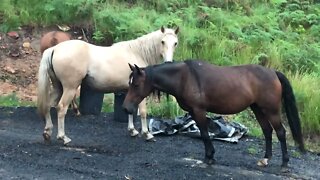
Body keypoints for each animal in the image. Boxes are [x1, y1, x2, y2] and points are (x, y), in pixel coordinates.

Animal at [37, 26, 180, 145]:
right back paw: (63, 137)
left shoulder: (130, 91)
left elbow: (130, 110)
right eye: (162, 42)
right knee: (61, 108)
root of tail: (54, 48)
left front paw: (132, 131)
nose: (168, 62)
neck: (137, 53)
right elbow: (143, 112)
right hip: (69, 88)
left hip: (58, 87)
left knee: (48, 105)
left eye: (175, 43)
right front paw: (147, 134)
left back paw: (47, 133)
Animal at [122, 59, 304, 168]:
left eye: (136, 85)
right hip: (257, 108)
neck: (184, 77)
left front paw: (210, 157)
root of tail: (273, 72)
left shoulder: (199, 110)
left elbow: (204, 134)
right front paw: (209, 155)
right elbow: (204, 134)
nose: (126, 108)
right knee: (267, 131)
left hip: (271, 110)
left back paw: (284, 163)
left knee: (280, 132)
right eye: (129, 83)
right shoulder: (193, 112)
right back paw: (266, 159)